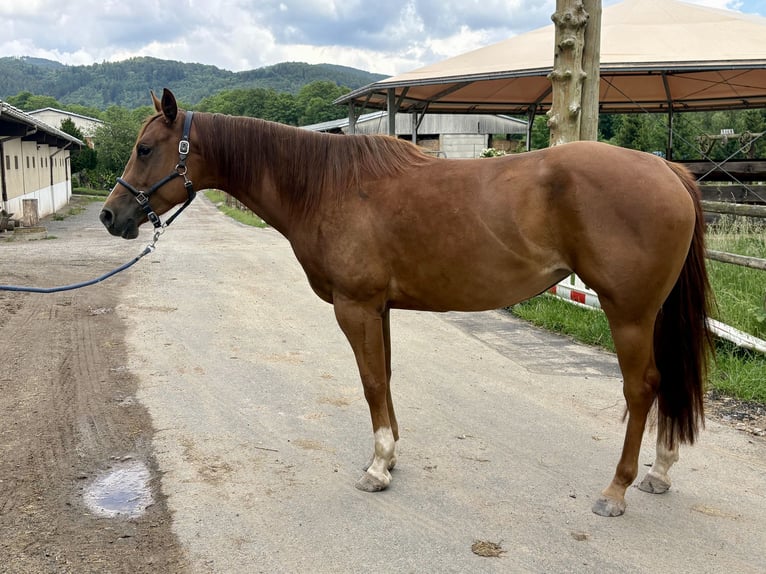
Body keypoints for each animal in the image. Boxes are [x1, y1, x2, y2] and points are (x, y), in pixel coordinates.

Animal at [100, 88, 713, 517]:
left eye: (145, 149)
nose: (110, 216)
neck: (327, 186)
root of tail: (666, 167)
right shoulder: (380, 309)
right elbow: (387, 379)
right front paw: (392, 456)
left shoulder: (355, 307)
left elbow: (371, 382)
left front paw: (377, 467)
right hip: (650, 314)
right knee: (664, 385)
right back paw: (660, 472)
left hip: (629, 313)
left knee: (642, 388)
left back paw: (617, 488)